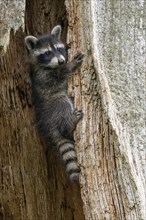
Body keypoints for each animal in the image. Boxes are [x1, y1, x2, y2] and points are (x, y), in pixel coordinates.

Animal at [25, 24, 84, 181]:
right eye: (47, 53)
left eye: (59, 49)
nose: (62, 61)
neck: (51, 66)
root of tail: (49, 127)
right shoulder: (44, 76)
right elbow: (61, 74)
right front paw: (71, 65)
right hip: (54, 104)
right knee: (62, 104)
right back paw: (69, 123)